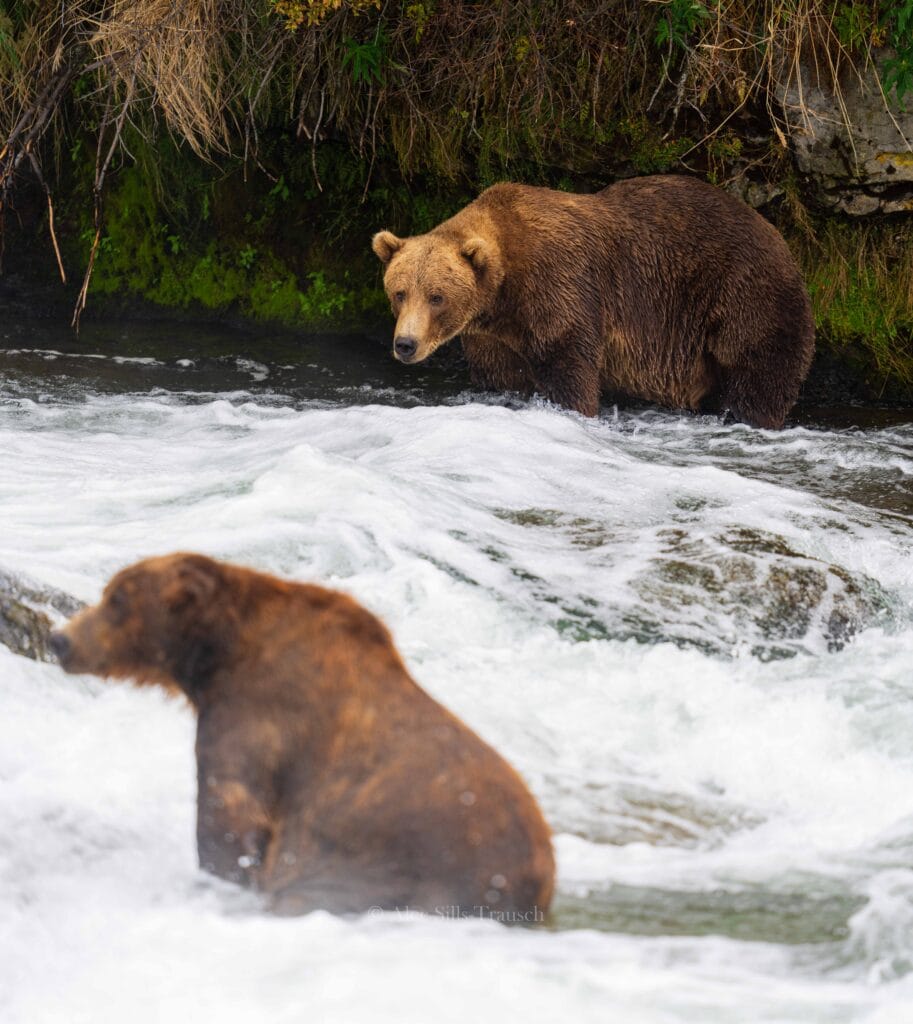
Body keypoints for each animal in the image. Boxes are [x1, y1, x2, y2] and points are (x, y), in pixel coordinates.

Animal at [49, 553, 554, 921]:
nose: (60, 639)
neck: (216, 656)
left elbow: (228, 810)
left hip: (403, 867)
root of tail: (541, 878)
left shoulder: (257, 717)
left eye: (116, 598)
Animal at [372, 175, 815, 429]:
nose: (406, 344)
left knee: (758, 368)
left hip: (742, 292)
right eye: (399, 292)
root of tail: (782, 239)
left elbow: (570, 367)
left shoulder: (560, 289)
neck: (505, 295)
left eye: (437, 297)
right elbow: (502, 377)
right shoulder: (494, 337)